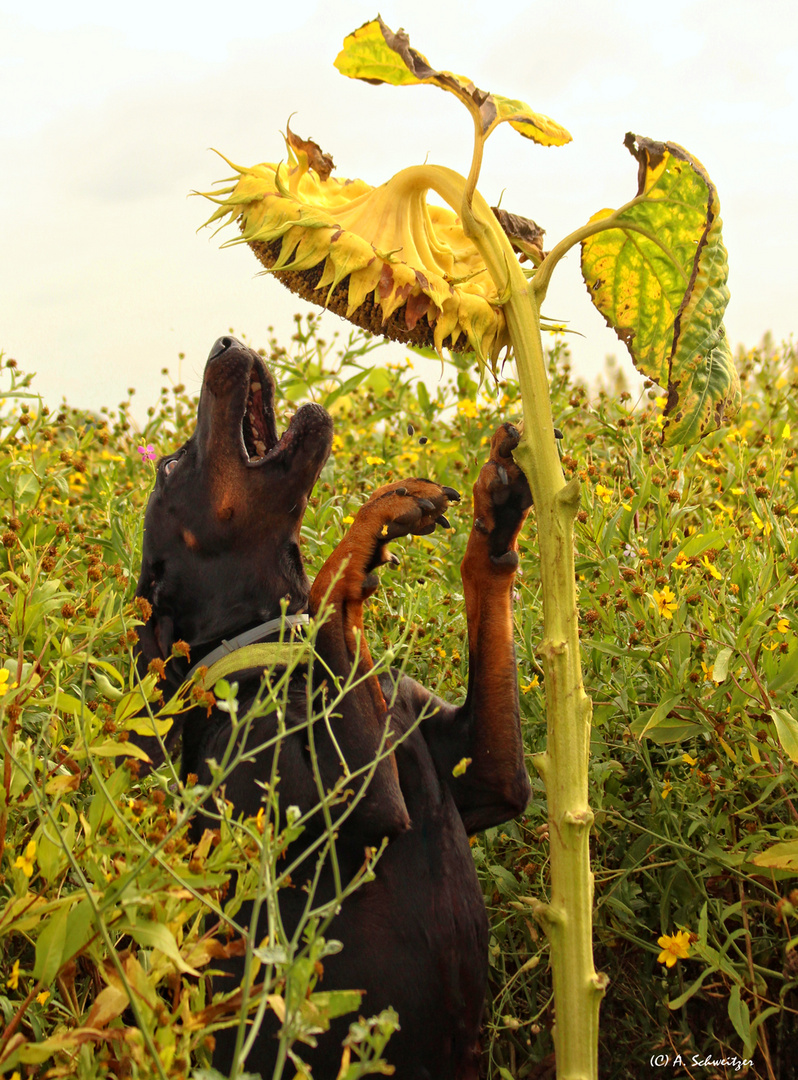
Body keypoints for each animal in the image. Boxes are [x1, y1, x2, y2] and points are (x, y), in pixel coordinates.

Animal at [134, 332, 533, 1075]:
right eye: (172, 468)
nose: (224, 341)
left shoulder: (493, 781)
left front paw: (495, 513)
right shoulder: (356, 803)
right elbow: (325, 593)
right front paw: (376, 522)